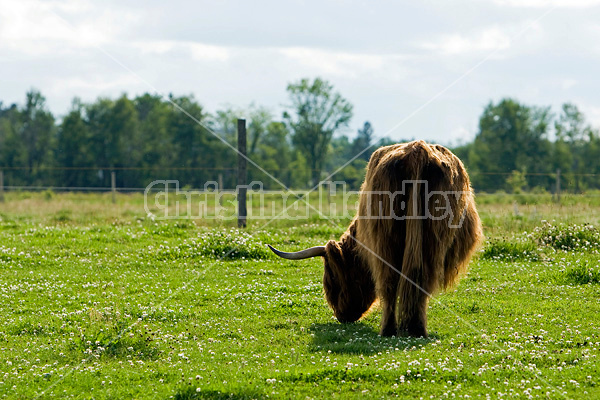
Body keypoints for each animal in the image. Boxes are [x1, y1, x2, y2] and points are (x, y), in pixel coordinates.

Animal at [270, 141, 486, 338]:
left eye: (331, 276)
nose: (342, 316)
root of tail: (418, 151)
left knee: (390, 281)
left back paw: (391, 330)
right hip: (428, 240)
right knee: (414, 280)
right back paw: (413, 329)